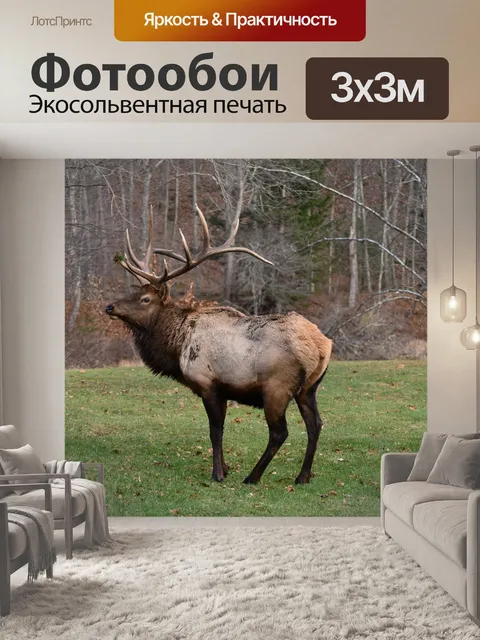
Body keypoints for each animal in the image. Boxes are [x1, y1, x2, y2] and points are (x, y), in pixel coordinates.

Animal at [105, 206, 332, 485]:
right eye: (135, 291)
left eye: (145, 299)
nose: (110, 306)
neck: (177, 346)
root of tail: (322, 346)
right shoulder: (223, 390)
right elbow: (221, 431)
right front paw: (225, 468)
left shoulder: (208, 384)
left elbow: (215, 432)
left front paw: (217, 474)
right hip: (309, 388)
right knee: (316, 425)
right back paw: (302, 476)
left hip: (277, 388)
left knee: (280, 432)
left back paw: (253, 477)